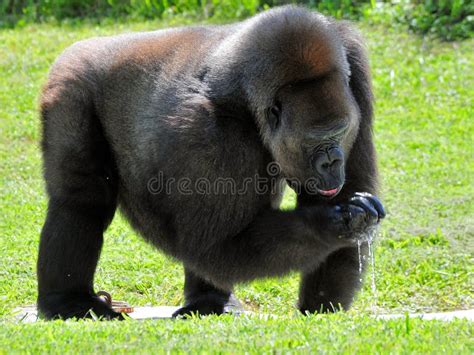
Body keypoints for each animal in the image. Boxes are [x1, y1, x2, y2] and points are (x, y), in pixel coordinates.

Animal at [37, 5, 386, 322]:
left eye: (339, 131)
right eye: (313, 140)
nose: (332, 161)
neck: (246, 94)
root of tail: (81, 46)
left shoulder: (353, 64)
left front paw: (321, 305)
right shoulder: (205, 129)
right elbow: (219, 243)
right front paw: (335, 223)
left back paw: (209, 301)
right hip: (69, 88)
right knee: (81, 202)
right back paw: (68, 301)